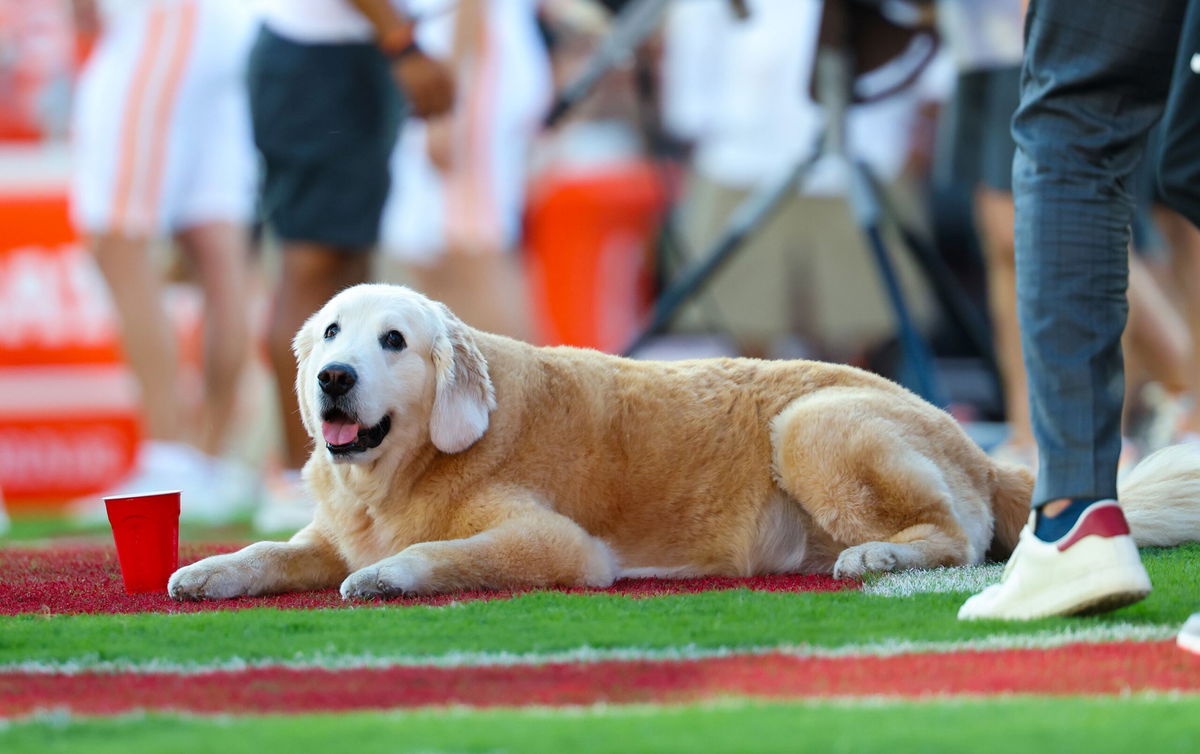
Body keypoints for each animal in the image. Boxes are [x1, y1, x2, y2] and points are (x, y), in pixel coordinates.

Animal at [169, 284, 1200, 600]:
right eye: (332, 334)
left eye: (394, 341)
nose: (333, 379)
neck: (406, 466)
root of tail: (990, 451)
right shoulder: (329, 531)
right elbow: (273, 552)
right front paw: (210, 569)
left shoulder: (556, 545)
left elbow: (442, 554)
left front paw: (388, 575)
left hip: (812, 422)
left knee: (961, 535)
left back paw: (877, 556)